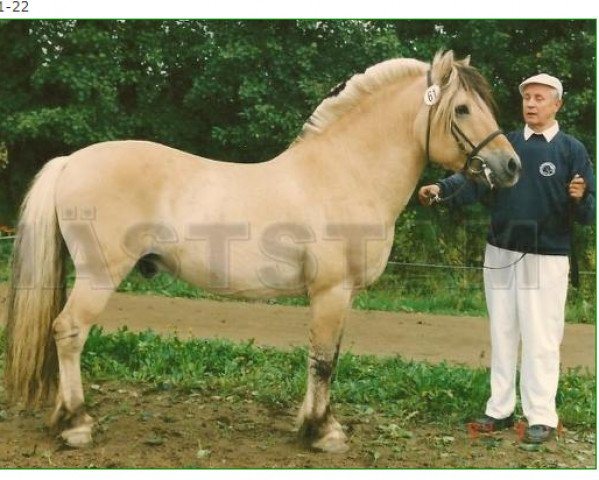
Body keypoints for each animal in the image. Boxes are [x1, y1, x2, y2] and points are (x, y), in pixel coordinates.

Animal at [3, 50, 520, 452]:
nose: (511, 165)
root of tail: (71, 160)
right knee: (69, 332)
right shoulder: (331, 291)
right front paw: (322, 432)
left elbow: (327, 356)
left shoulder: (340, 295)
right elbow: (323, 360)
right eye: (462, 110)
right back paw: (76, 424)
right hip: (97, 276)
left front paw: (312, 424)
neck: (344, 173)